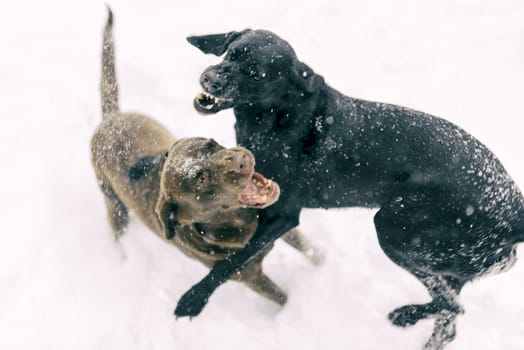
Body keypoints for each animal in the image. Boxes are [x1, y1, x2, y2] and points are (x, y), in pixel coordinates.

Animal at [90, 8, 322, 306]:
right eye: (200, 179)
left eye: (211, 144)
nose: (242, 161)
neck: (238, 222)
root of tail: (110, 119)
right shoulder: (252, 279)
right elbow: (281, 298)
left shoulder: (281, 224)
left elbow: (310, 250)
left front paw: (322, 264)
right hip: (115, 207)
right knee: (117, 230)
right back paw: (121, 256)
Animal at [177, 29, 524, 348]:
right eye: (232, 53)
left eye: (257, 74)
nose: (210, 79)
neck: (281, 115)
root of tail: (514, 207)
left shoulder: (283, 216)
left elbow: (233, 261)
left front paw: (195, 299)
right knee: (451, 312)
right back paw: (411, 317)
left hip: (397, 232)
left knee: (452, 305)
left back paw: (410, 314)